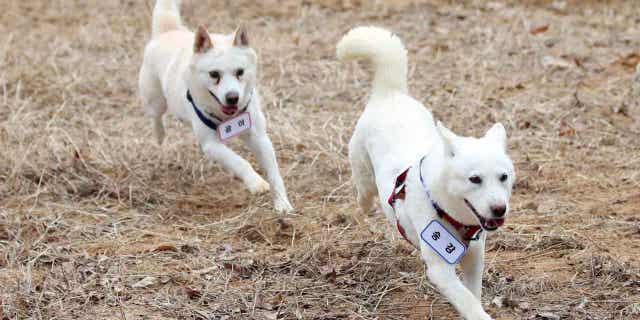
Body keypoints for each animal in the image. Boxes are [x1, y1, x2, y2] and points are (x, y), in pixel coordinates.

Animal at [139, 1, 294, 214]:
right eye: (214, 74)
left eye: (240, 72)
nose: (232, 98)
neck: (229, 117)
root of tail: (170, 30)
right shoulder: (211, 145)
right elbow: (239, 161)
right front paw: (256, 183)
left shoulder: (260, 137)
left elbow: (274, 173)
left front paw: (282, 203)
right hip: (156, 100)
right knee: (156, 116)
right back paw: (159, 135)